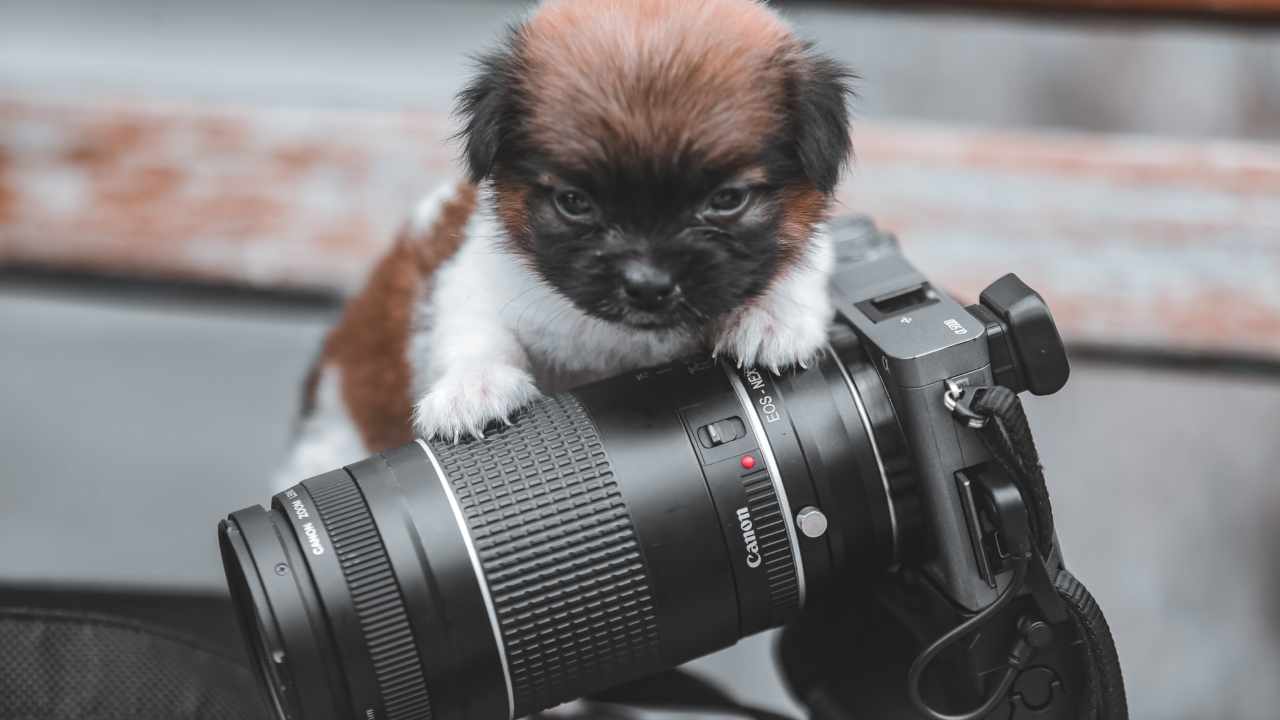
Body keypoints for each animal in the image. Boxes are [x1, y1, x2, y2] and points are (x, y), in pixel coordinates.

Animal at [276, 0, 855, 481]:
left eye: (727, 199)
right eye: (575, 203)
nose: (648, 286)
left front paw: (772, 317)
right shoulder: (476, 278)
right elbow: (474, 333)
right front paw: (475, 386)